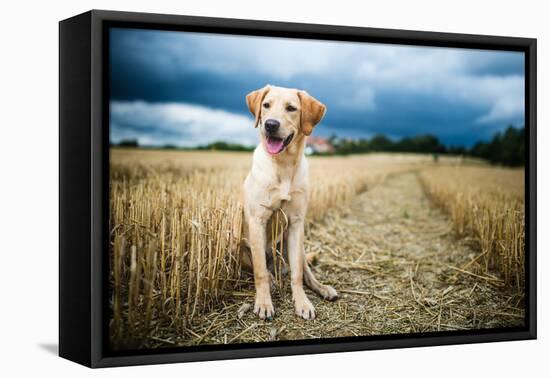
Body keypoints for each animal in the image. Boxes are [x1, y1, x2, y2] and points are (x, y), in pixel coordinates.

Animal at [240, 84, 338, 320]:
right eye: (266, 105)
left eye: (291, 108)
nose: (270, 124)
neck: (283, 164)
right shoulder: (257, 221)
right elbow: (259, 272)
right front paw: (264, 303)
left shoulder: (296, 223)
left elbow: (297, 275)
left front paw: (302, 303)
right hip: (242, 247)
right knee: (265, 270)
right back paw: (272, 281)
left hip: (298, 246)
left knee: (304, 272)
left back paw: (323, 288)